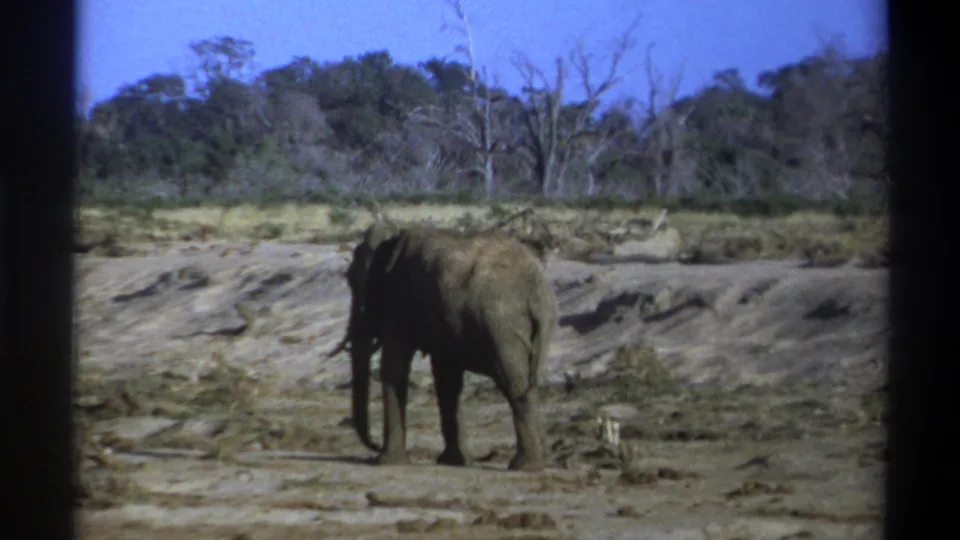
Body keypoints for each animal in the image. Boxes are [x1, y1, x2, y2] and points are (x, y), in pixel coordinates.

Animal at [328, 219, 559, 472]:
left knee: (515, 384)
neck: (393, 237)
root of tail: (533, 290)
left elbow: (395, 368)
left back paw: (524, 466)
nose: (374, 447)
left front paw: (387, 463)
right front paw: (454, 461)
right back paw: (538, 461)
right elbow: (447, 378)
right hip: (537, 323)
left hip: (502, 326)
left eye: (352, 280)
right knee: (530, 383)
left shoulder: (401, 300)